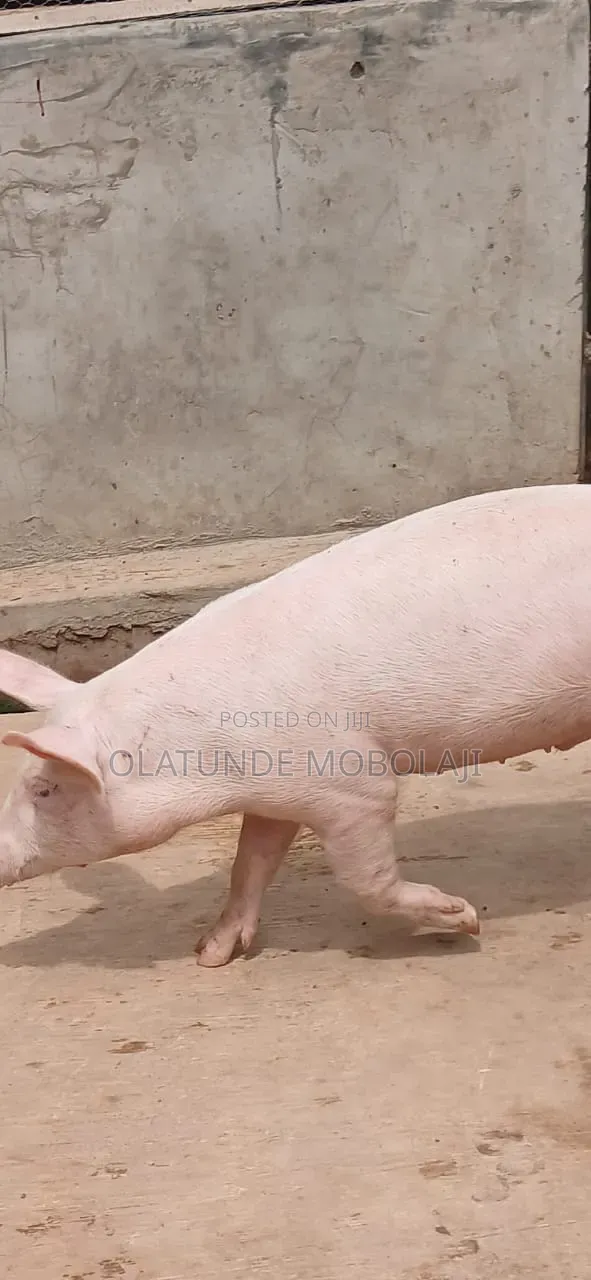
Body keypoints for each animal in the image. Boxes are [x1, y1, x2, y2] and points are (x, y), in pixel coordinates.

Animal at [0, 481, 590, 967]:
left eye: (45, 790)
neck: (197, 755)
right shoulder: (274, 790)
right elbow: (249, 862)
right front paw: (210, 955)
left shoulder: (353, 783)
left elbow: (365, 879)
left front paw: (465, 919)